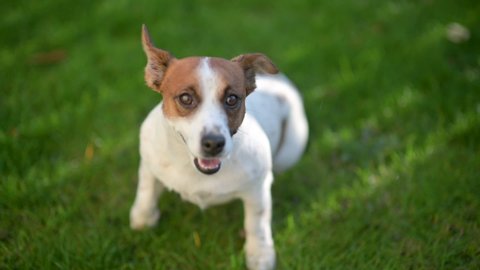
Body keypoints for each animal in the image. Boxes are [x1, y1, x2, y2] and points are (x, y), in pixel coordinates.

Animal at [128, 25, 308, 270]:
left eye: (232, 99)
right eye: (185, 98)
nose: (213, 143)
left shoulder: (258, 188)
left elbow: (257, 222)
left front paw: (259, 253)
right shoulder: (149, 162)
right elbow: (146, 191)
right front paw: (143, 218)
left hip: (291, 148)